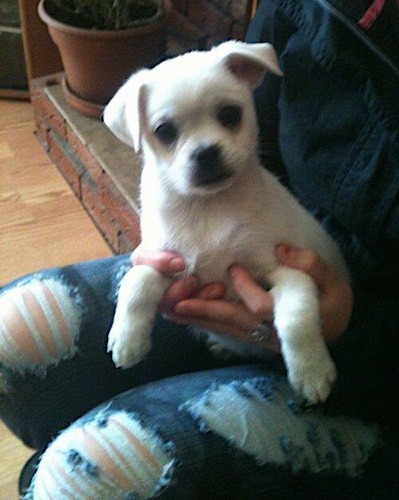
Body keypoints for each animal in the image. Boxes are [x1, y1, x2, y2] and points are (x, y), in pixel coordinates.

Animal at [104, 41, 348, 404]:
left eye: (230, 114)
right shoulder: (164, 258)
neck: (207, 206)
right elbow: (137, 282)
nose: (206, 153)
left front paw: (312, 372)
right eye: (164, 132)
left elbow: (296, 319)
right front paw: (127, 338)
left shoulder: (286, 271)